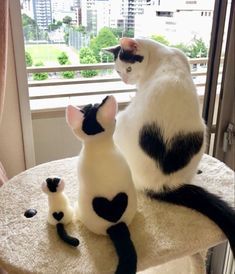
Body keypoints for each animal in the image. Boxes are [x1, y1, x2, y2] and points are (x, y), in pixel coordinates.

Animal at [105, 37, 235, 256]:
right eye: (117, 71)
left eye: (128, 68)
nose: (124, 80)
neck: (159, 54)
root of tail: (161, 184)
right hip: (201, 132)